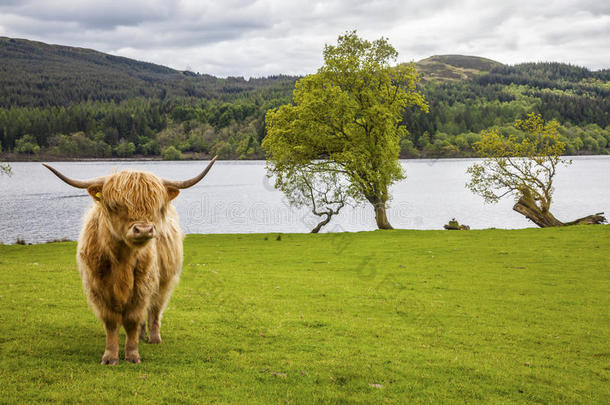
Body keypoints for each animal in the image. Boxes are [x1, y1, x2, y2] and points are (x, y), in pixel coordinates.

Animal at [42, 159, 215, 366]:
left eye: (156, 206)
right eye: (115, 205)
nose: (144, 229)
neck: (122, 261)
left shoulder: (141, 287)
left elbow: (132, 319)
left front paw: (132, 355)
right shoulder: (99, 288)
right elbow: (111, 322)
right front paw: (110, 356)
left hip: (163, 282)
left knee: (155, 309)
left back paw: (153, 338)